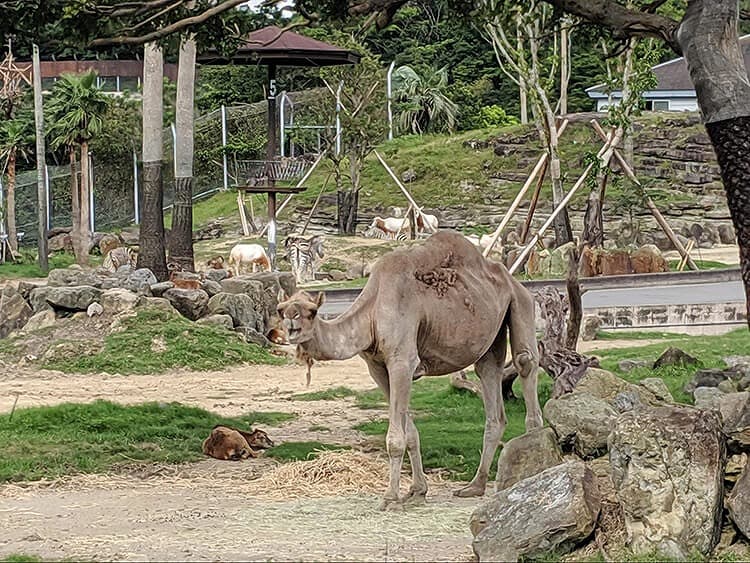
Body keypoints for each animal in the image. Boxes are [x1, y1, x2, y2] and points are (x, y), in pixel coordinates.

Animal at [280, 230, 544, 512]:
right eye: (281, 310)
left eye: (311, 312)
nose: (292, 325)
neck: (373, 311)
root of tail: (512, 278)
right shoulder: (377, 368)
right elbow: (411, 433)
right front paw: (418, 491)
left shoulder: (402, 361)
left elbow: (396, 438)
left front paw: (391, 498)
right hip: (491, 331)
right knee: (489, 375)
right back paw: (475, 486)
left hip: (520, 303)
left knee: (525, 362)